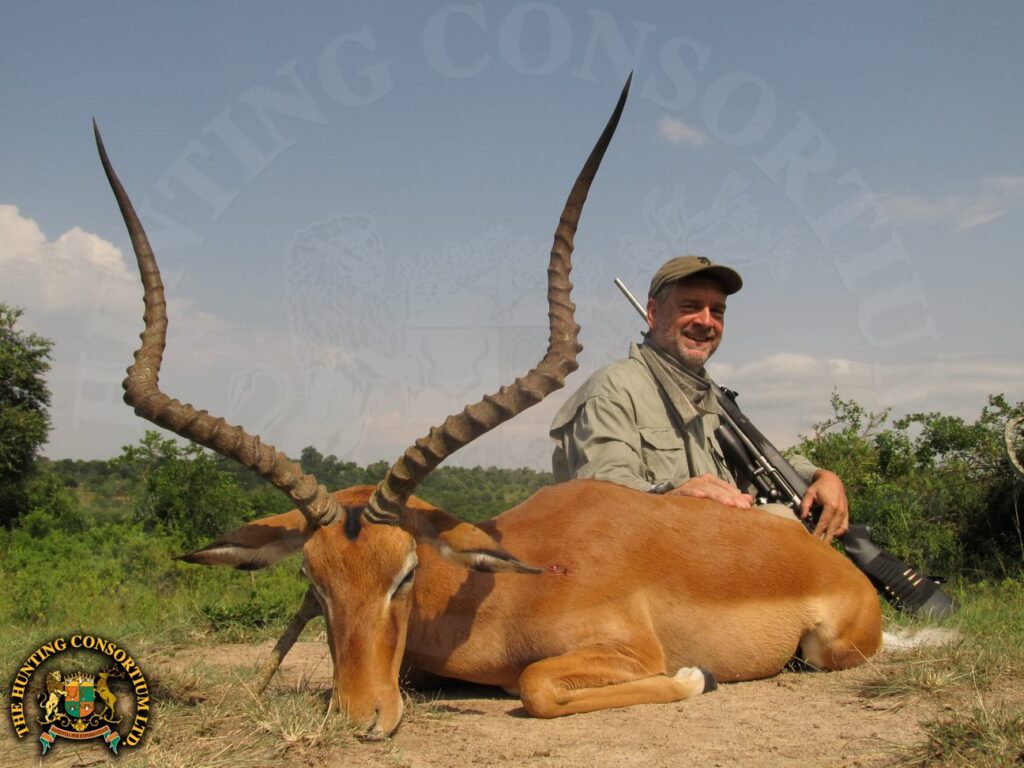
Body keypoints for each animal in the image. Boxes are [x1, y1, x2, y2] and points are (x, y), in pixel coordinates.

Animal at [97, 77, 881, 740]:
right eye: (314, 583)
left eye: (405, 574)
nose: (362, 718)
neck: (502, 592)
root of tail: (829, 562)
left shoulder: (626, 650)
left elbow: (537, 686)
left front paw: (698, 677)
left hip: (831, 647)